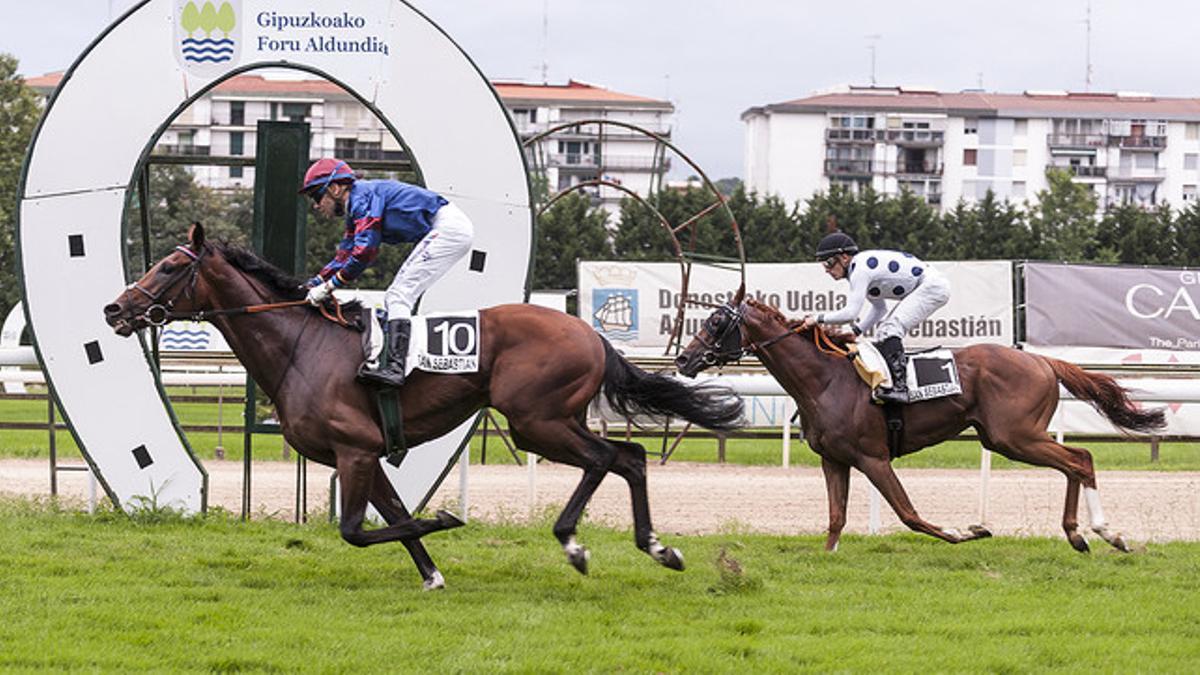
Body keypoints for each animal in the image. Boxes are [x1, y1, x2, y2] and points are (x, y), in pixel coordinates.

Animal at [105, 223, 739, 586]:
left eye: (168, 266)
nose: (115, 310)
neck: (302, 346)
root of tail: (593, 334)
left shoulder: (355, 451)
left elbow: (356, 530)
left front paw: (449, 517)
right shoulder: (360, 454)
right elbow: (393, 519)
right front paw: (433, 575)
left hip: (536, 420)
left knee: (608, 458)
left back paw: (576, 543)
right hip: (548, 420)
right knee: (630, 457)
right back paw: (659, 549)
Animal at [676, 283, 1161, 552]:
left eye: (717, 322)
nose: (683, 358)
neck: (826, 379)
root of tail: (1042, 360)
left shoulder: (872, 458)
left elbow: (908, 513)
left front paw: (967, 532)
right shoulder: (834, 460)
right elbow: (835, 519)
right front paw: (829, 555)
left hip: (1014, 436)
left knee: (1080, 459)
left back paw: (1106, 534)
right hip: (1007, 437)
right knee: (1074, 462)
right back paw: (1078, 535)